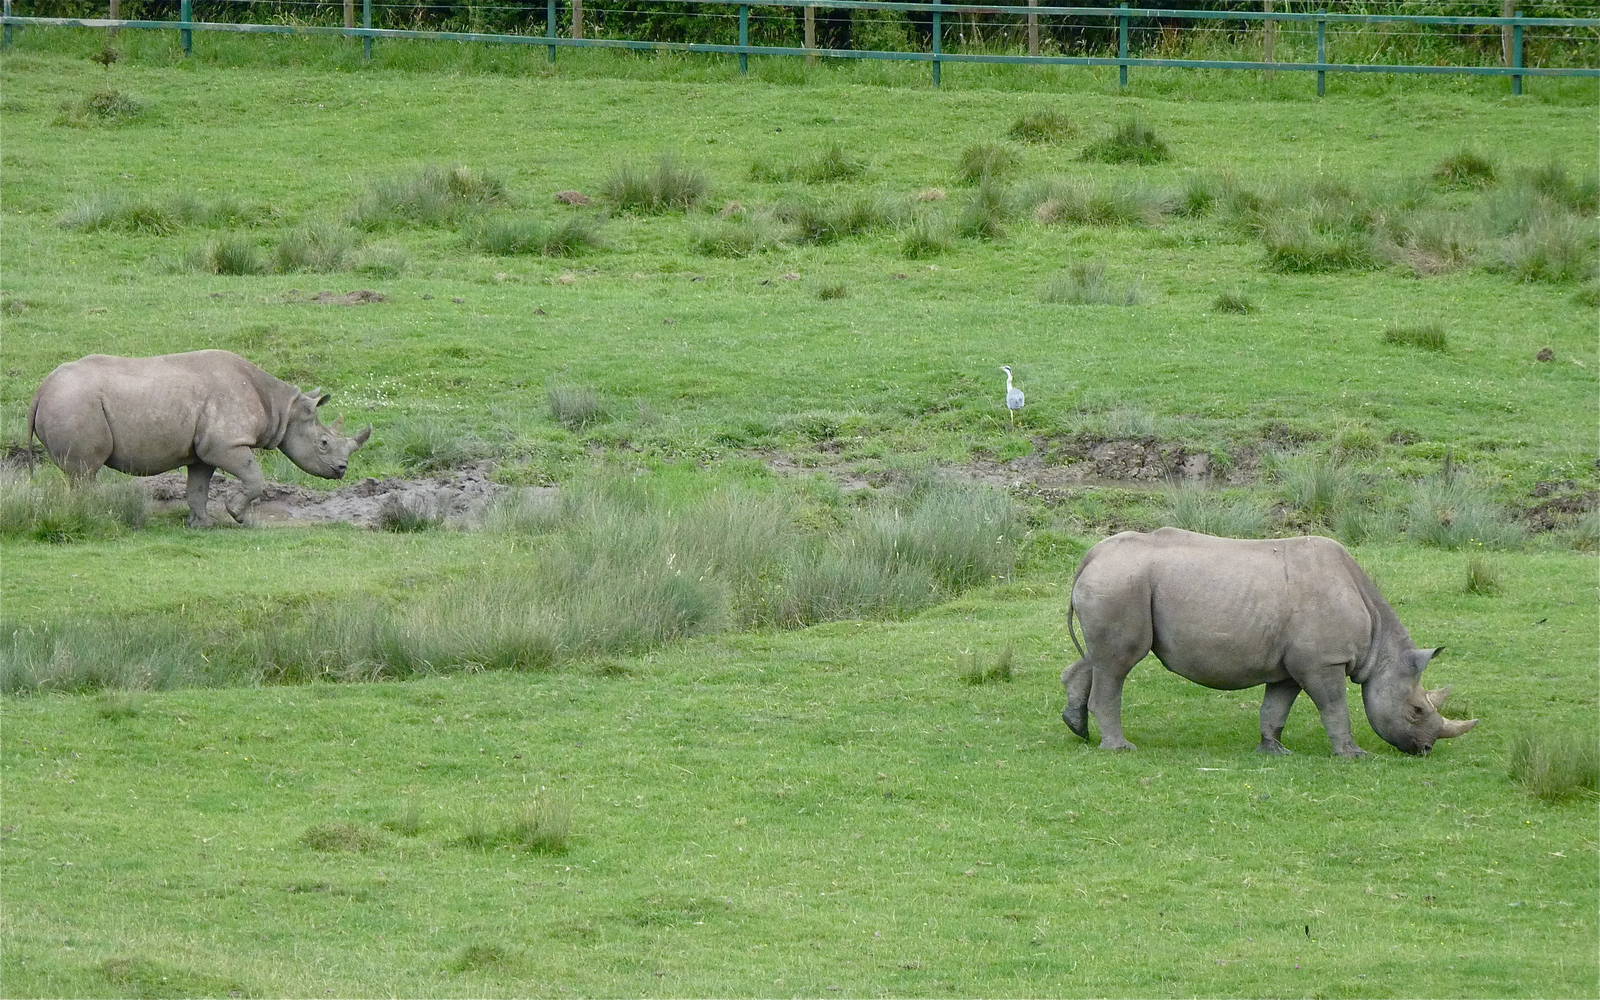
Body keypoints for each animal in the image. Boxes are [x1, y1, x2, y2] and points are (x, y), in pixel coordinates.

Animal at [28, 350, 372, 527]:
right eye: (323, 443)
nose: (342, 470)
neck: (283, 407)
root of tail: (42, 389)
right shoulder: (226, 443)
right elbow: (254, 478)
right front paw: (237, 515)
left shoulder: (203, 450)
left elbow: (198, 487)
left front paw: (202, 524)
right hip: (75, 403)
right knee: (84, 471)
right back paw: (93, 516)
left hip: (68, 401)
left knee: (78, 473)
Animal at [1062, 527, 1478, 757]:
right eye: (1416, 711)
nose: (1425, 750)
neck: (1381, 653)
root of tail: (1091, 556)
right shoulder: (1324, 661)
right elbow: (1335, 707)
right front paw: (1353, 754)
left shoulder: (1293, 666)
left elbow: (1276, 707)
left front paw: (1274, 750)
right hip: (1122, 582)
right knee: (1118, 663)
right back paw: (1121, 749)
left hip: (1117, 580)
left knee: (1098, 657)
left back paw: (1078, 729)